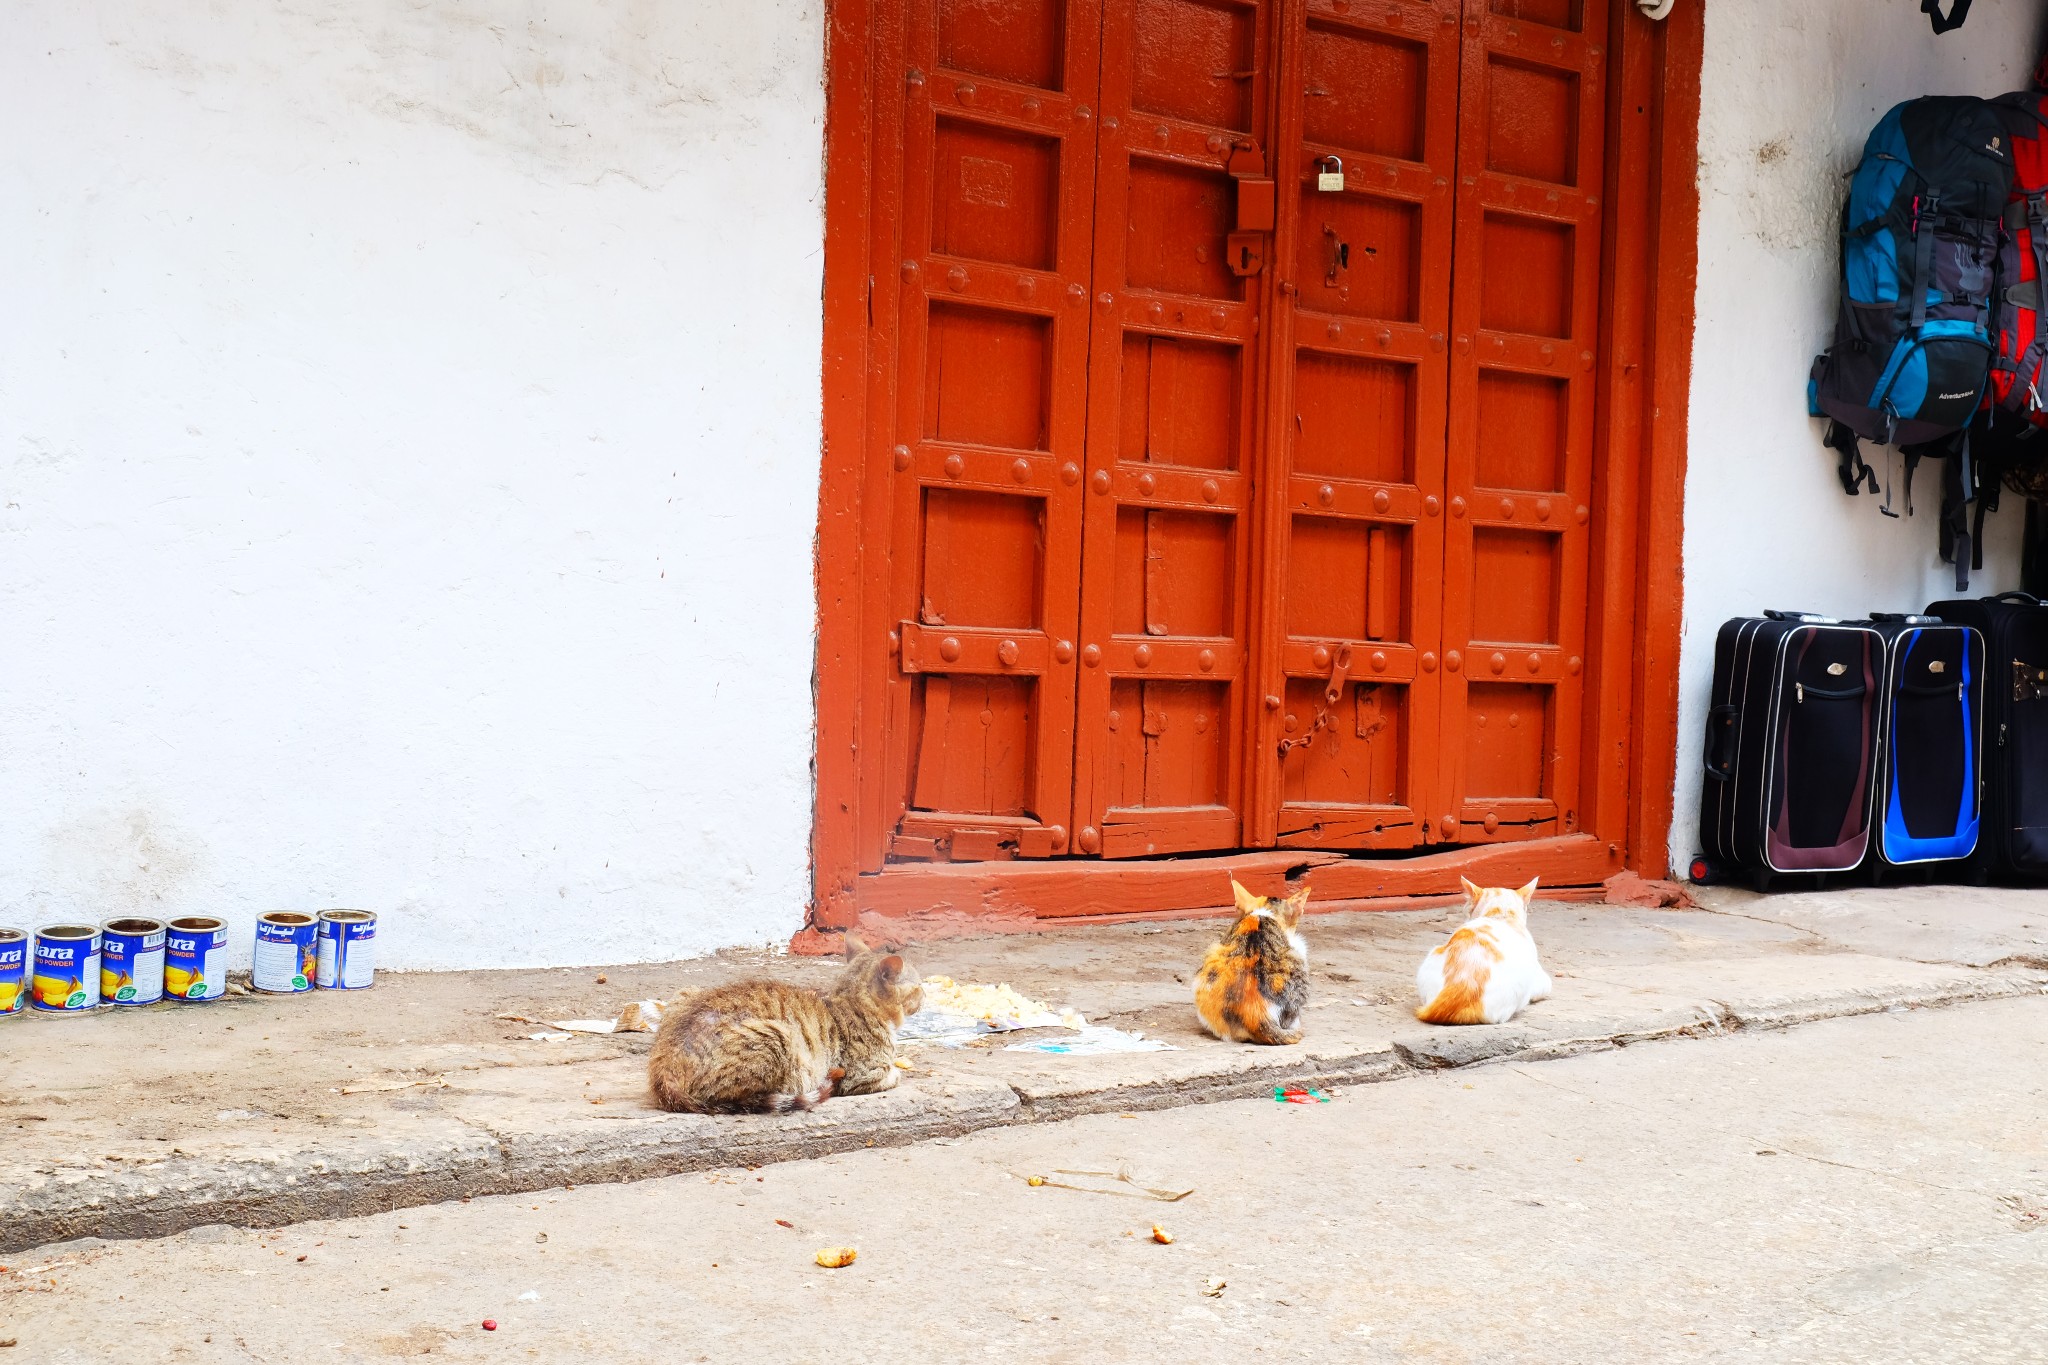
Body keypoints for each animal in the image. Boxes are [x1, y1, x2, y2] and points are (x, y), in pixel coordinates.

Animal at [647, 933, 921, 1113]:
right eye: (918, 986)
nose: (924, 996)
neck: (849, 1000)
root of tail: (664, 1064)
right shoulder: (861, 1076)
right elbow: (893, 1075)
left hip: (685, 992)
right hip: (779, 1036)